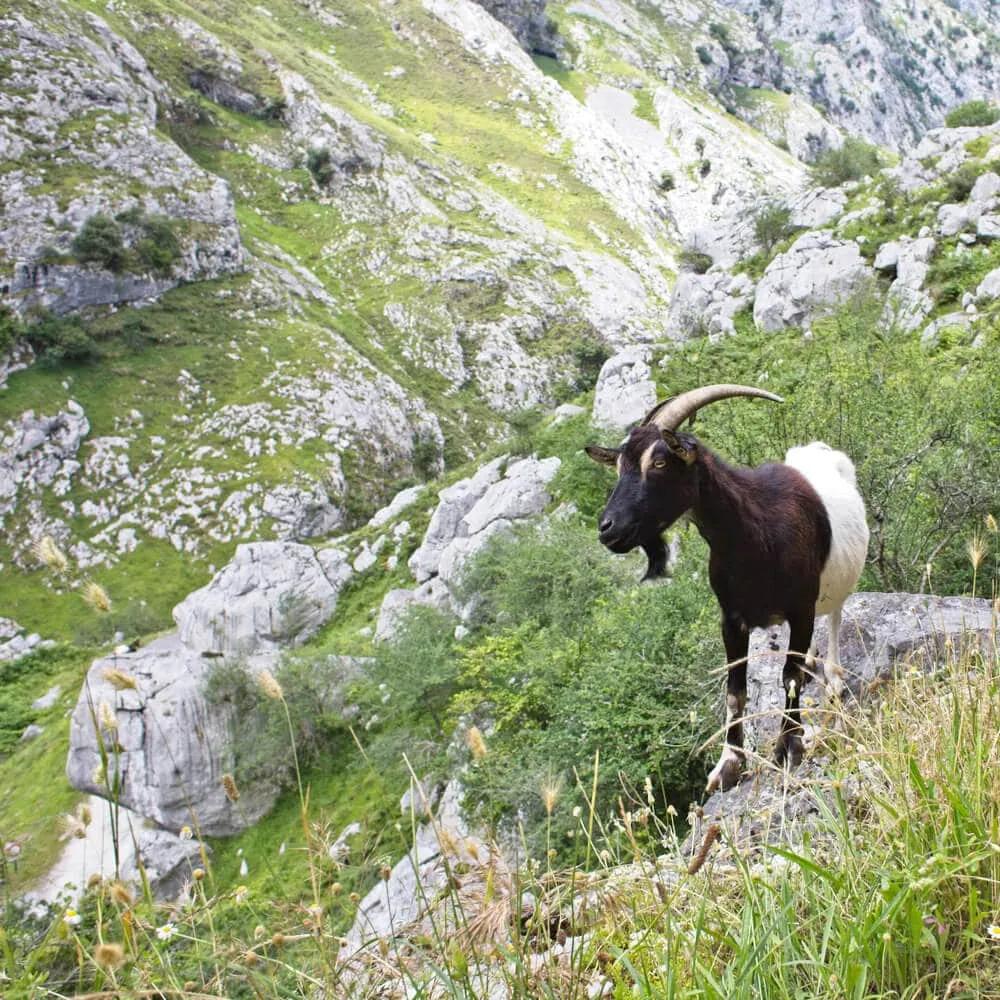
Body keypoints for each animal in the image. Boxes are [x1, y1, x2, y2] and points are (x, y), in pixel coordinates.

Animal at [586, 384, 869, 793]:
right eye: (620, 465)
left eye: (660, 462)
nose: (608, 528)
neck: (757, 534)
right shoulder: (731, 619)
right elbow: (735, 692)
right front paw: (729, 765)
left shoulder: (800, 608)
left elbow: (790, 678)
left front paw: (789, 748)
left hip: (835, 588)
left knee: (833, 621)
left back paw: (833, 684)